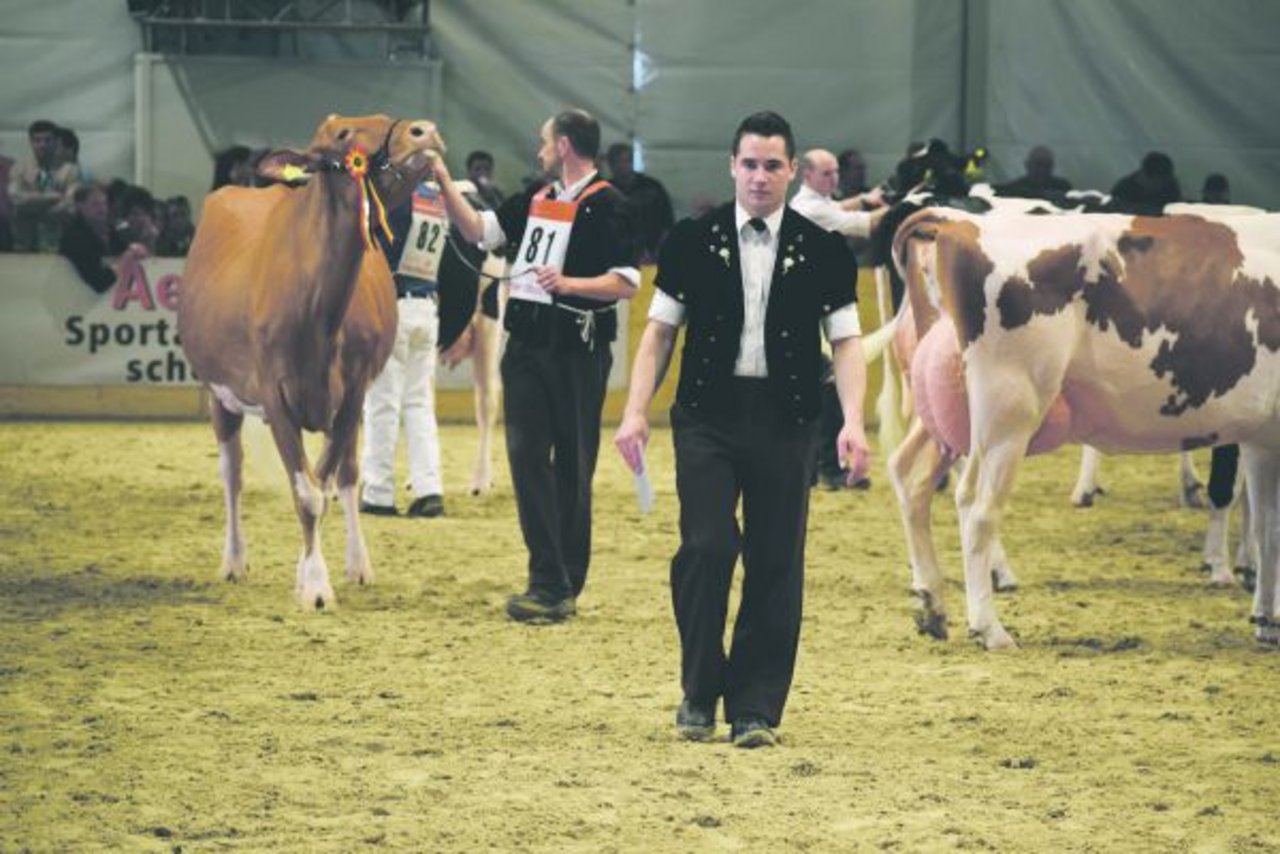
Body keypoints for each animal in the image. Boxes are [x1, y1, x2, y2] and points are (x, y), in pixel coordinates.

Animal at [177, 113, 442, 606]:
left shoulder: (352, 393)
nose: (424, 131)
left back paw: (358, 564)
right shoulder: (274, 395)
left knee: (349, 475)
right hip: (220, 394)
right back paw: (234, 560)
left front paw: (310, 574)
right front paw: (316, 586)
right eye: (343, 134)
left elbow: (325, 481)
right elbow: (306, 491)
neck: (317, 309)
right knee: (232, 474)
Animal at [890, 207, 1280, 647]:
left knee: (910, 475)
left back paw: (931, 605)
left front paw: (1266, 619)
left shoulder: (1263, 438)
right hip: (1007, 411)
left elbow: (1268, 527)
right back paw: (990, 628)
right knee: (975, 506)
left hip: (946, 412)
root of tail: (956, 221)